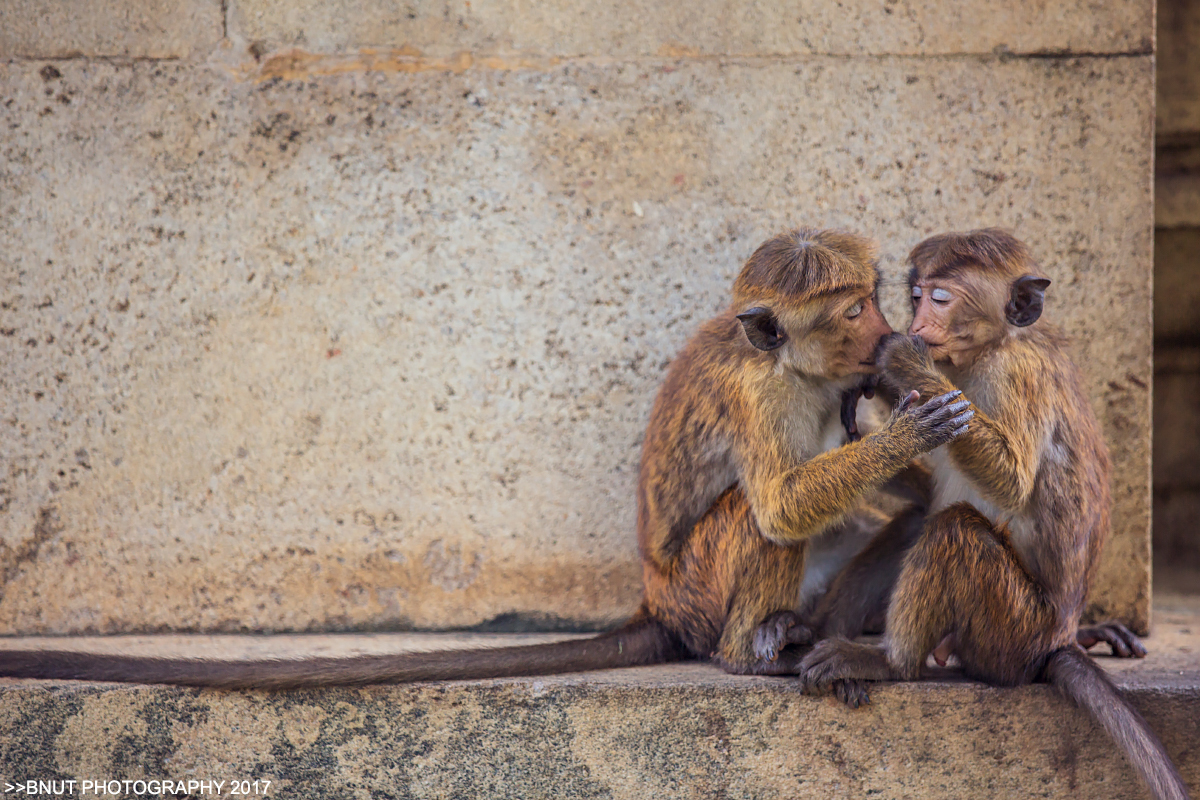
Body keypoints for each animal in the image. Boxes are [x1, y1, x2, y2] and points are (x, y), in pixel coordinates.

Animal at [0, 226, 964, 690]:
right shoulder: (759, 396)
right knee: (759, 522)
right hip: (698, 589)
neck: (794, 369)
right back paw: (746, 650)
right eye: (850, 310)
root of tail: (655, 602)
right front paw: (909, 429)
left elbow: (901, 491)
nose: (885, 331)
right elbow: (779, 506)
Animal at [796, 227, 1190, 800]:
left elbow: (1012, 480)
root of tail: (1053, 643)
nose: (917, 325)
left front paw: (902, 360)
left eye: (941, 299)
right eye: (916, 295)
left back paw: (888, 662)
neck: (991, 347)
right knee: (919, 523)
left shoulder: (1015, 375)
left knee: (954, 530)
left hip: (1011, 631)